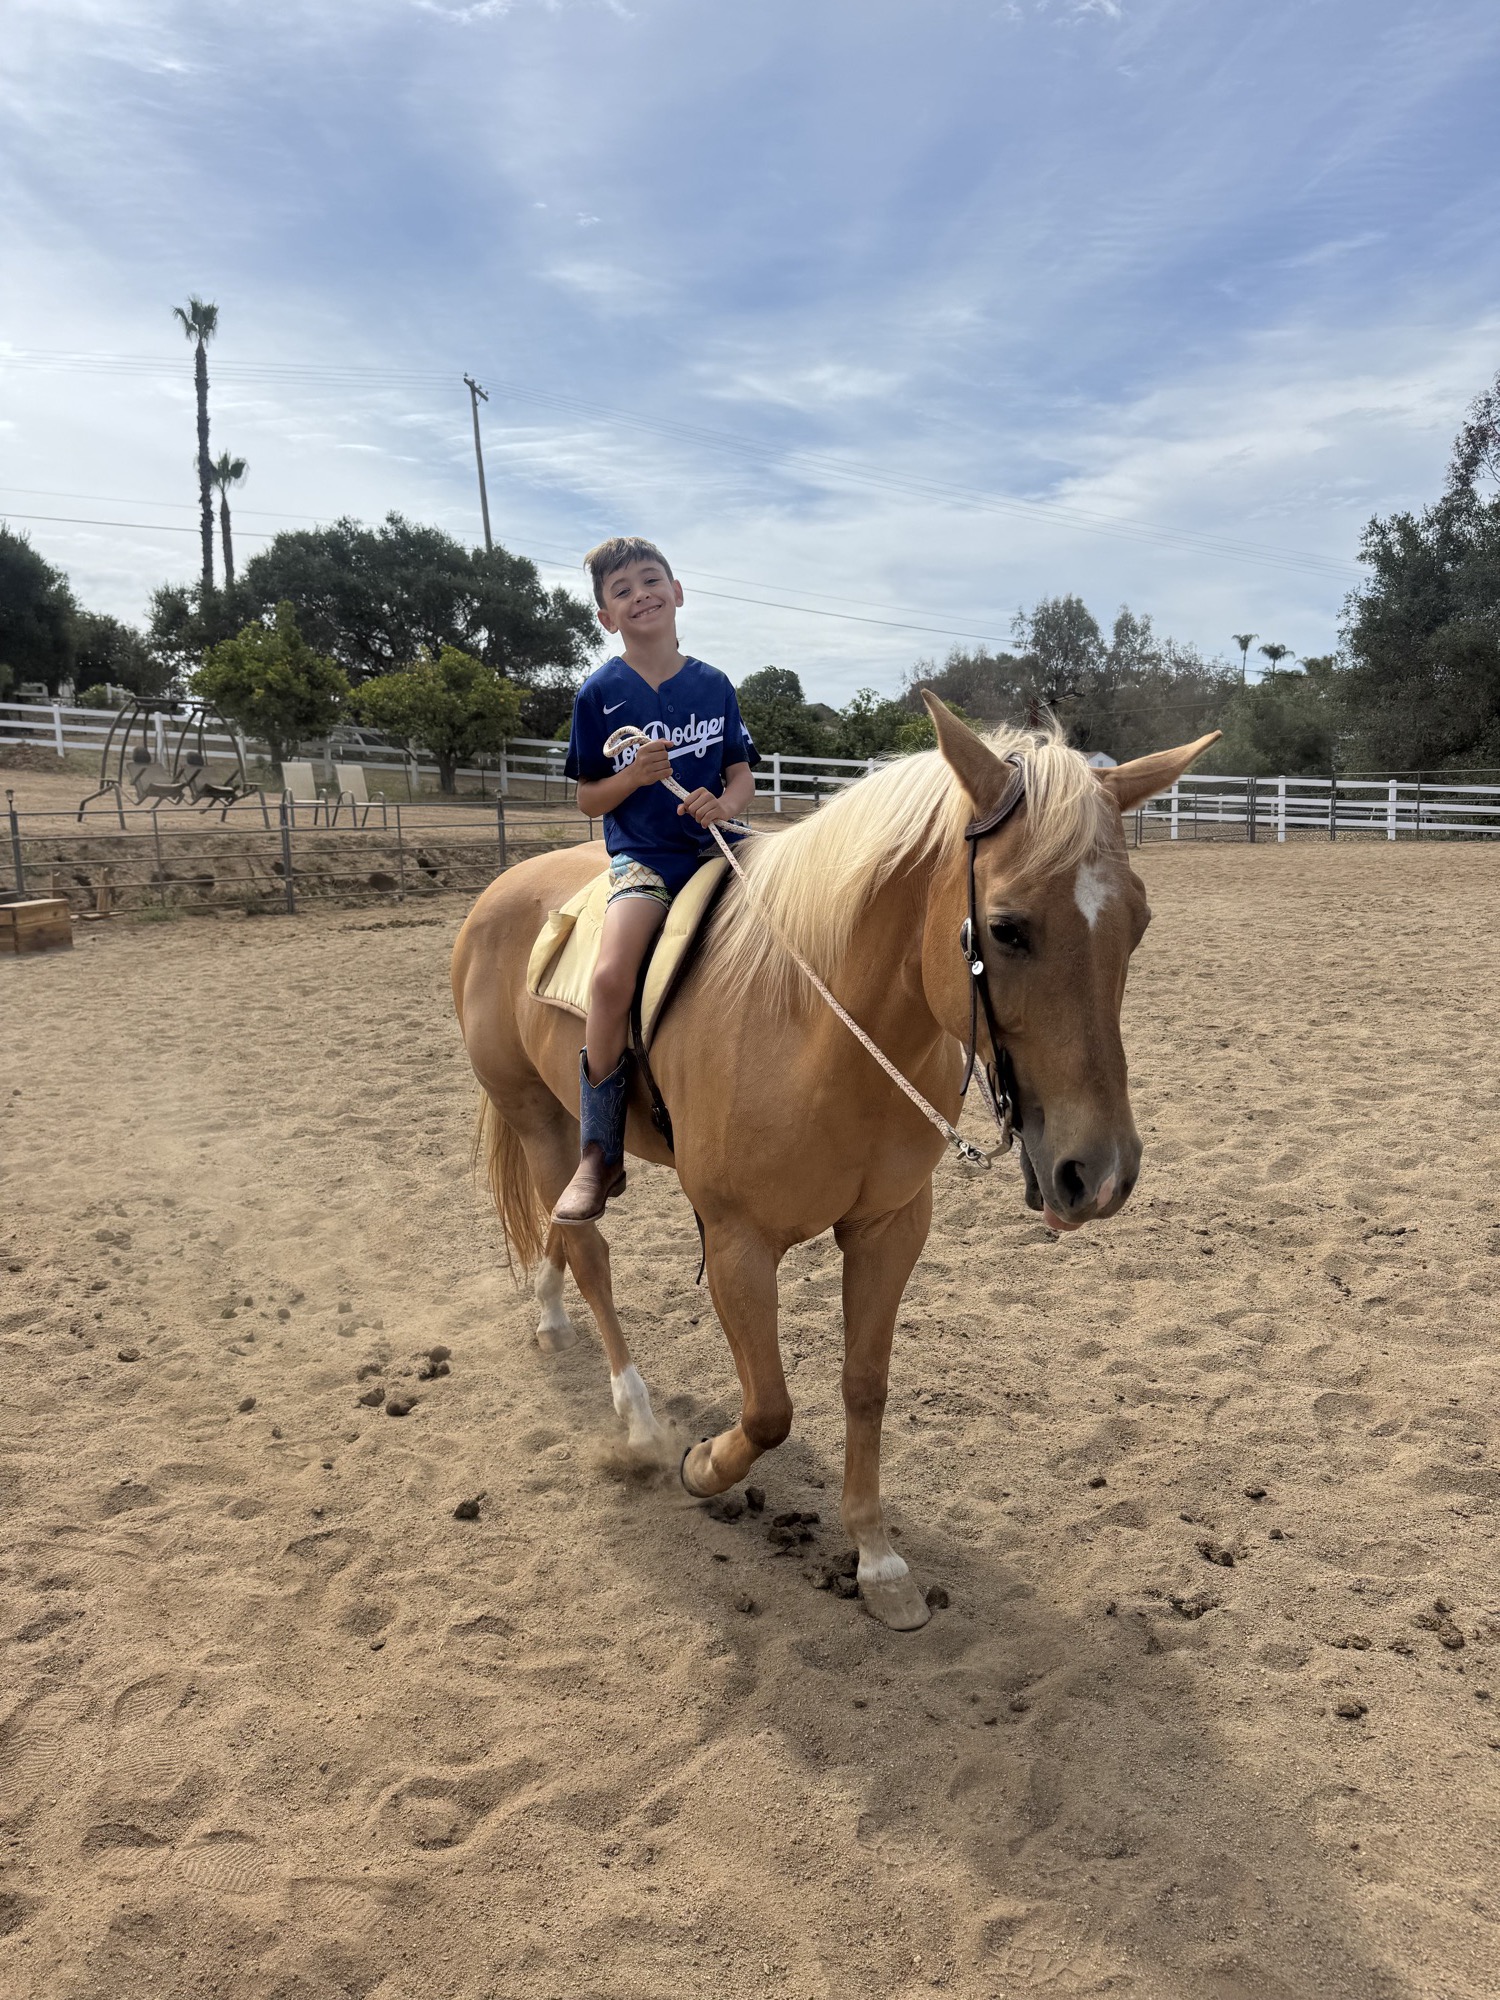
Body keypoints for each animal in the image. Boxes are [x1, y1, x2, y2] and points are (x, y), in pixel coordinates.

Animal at [451, 696, 1217, 1629]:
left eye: (1137, 924)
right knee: (587, 1243)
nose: (1099, 1174)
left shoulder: (889, 1229)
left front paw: (878, 1560)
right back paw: (637, 1420)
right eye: (1006, 929)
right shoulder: (737, 1244)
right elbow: (770, 1409)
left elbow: (864, 1384)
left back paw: (551, 1316)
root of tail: (502, 891)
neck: (815, 1026)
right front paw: (702, 1466)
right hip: (538, 1118)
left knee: (559, 1236)